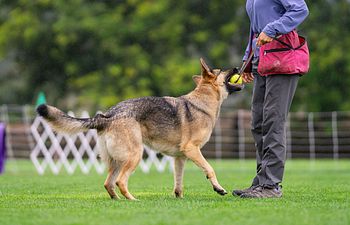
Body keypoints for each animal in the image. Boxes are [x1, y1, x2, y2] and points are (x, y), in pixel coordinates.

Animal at [36, 58, 243, 200]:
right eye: (221, 70)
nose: (237, 68)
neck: (203, 101)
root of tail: (107, 115)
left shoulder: (180, 158)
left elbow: (178, 182)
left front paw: (179, 198)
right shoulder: (192, 150)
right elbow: (210, 169)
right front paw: (218, 188)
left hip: (118, 160)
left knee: (108, 184)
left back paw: (118, 201)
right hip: (135, 155)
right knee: (120, 181)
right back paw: (133, 200)